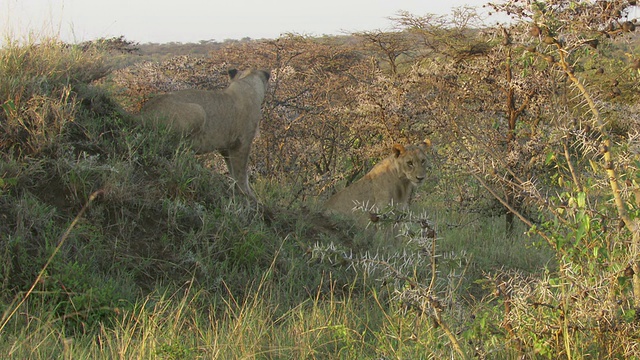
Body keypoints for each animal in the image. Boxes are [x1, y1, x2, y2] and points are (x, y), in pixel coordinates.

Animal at [140, 69, 270, 201]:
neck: (246, 82)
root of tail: (141, 113)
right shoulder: (242, 143)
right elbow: (241, 172)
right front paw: (248, 195)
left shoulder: (226, 147)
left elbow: (232, 170)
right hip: (199, 111)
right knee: (167, 145)